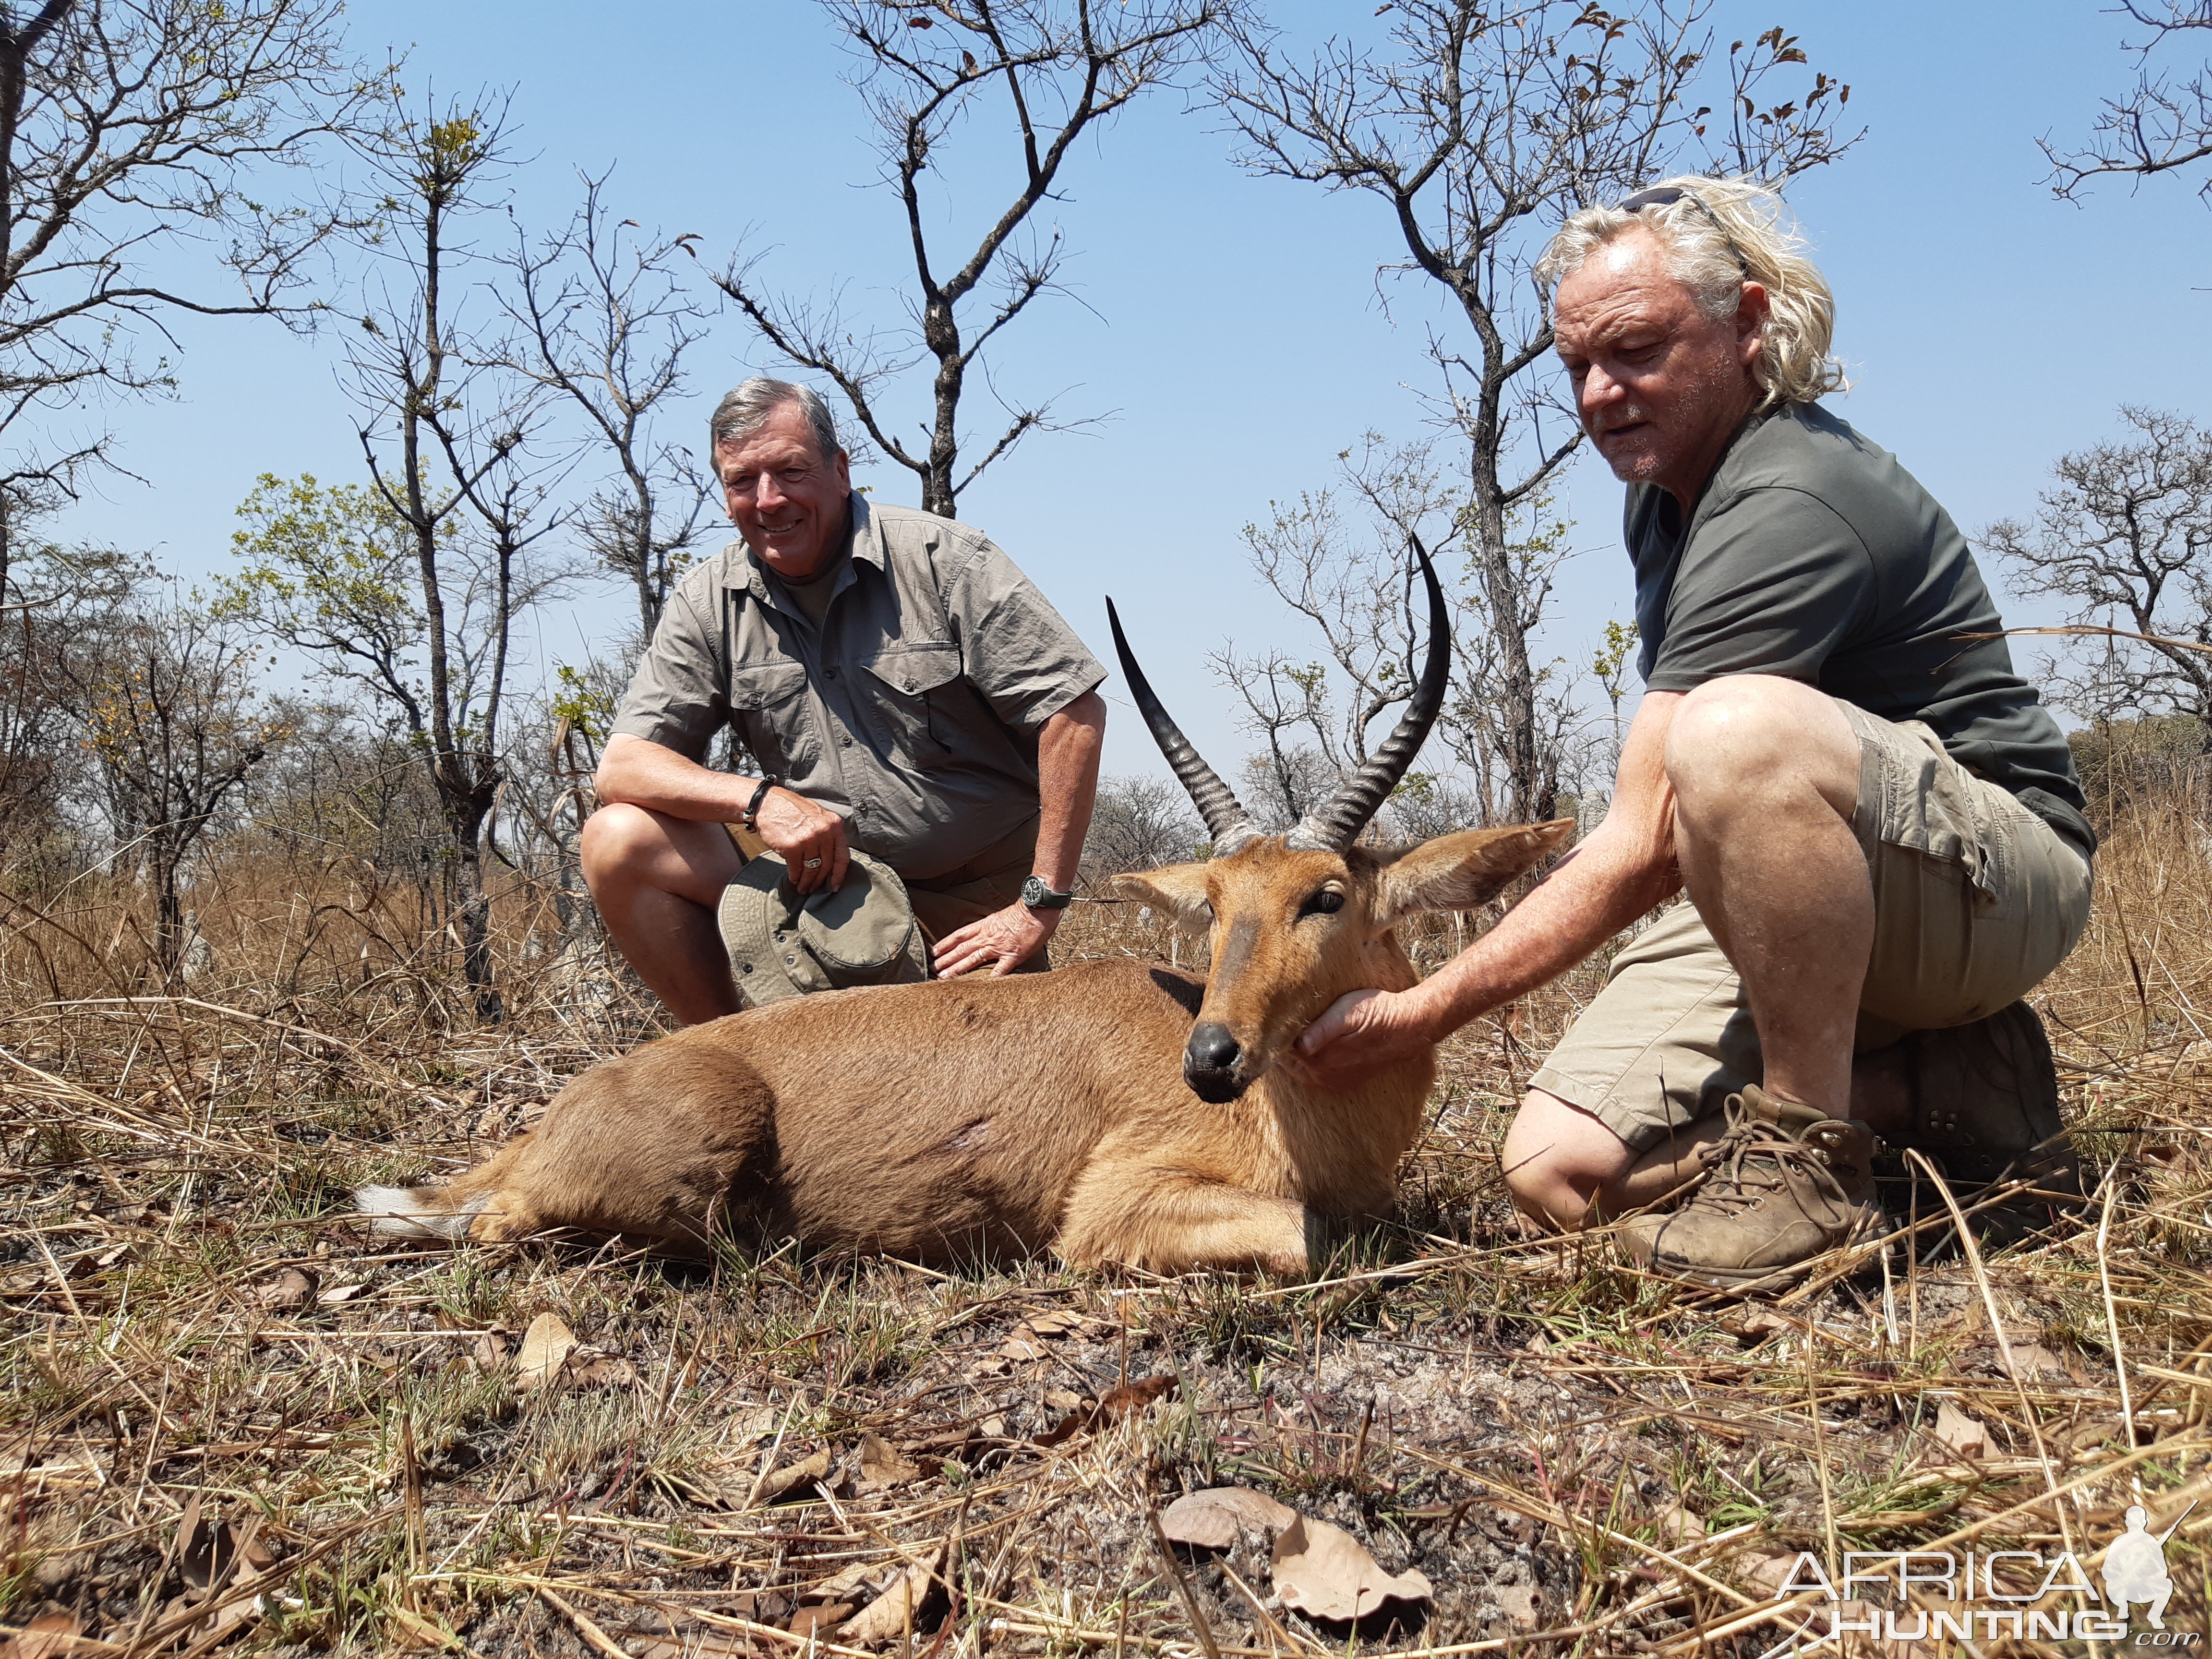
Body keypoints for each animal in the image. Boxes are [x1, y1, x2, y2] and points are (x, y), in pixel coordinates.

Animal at [358, 541, 1575, 1274]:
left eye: (1324, 895)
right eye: (1216, 903)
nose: (1211, 1057)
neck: (1314, 1104)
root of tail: (547, 1123)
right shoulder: (1114, 1210)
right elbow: (1305, 1234)